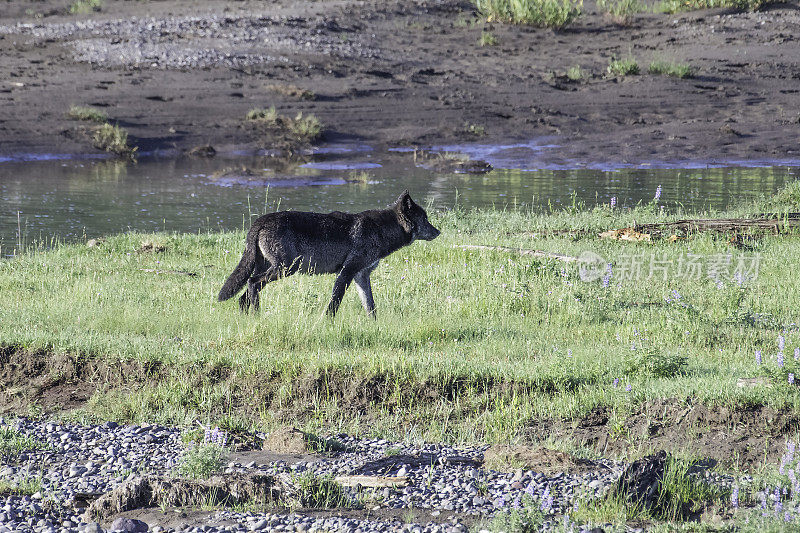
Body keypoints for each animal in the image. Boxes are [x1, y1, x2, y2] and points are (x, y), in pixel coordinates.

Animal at [219, 191, 440, 316]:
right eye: (425, 219)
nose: (438, 232)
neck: (381, 229)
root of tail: (260, 221)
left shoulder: (361, 275)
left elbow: (370, 306)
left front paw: (375, 325)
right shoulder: (346, 273)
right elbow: (335, 302)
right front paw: (327, 322)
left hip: (274, 269)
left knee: (243, 296)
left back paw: (248, 318)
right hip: (285, 269)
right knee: (252, 283)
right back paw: (257, 316)